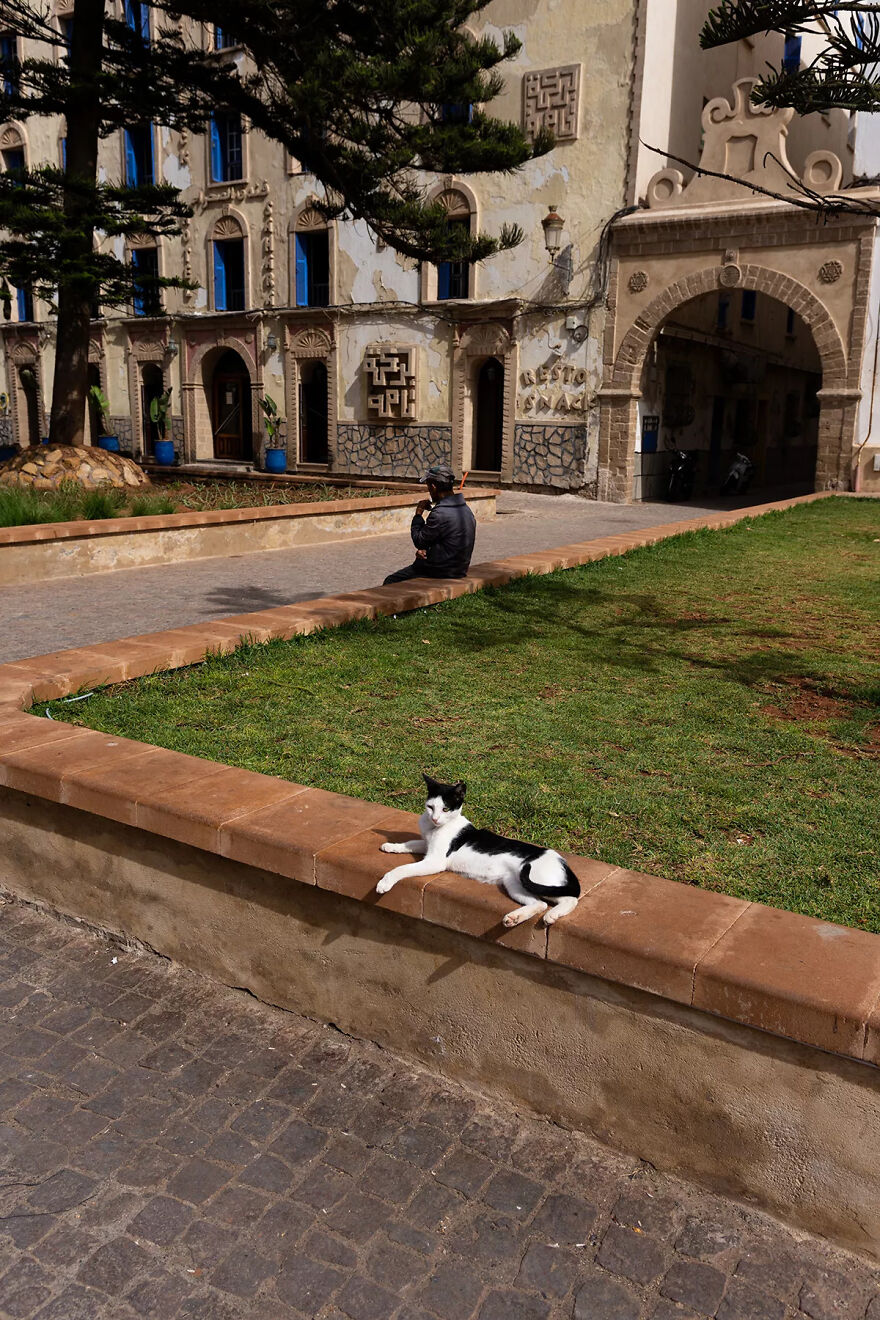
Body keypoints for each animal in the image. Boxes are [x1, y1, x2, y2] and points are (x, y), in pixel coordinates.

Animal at [377, 770, 577, 929]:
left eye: (445, 809)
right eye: (430, 807)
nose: (435, 818)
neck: (434, 828)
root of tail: (561, 860)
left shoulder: (435, 861)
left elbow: (401, 869)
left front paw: (385, 882)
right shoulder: (427, 846)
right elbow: (411, 842)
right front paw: (391, 846)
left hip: (537, 879)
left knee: (570, 898)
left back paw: (551, 915)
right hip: (515, 884)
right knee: (540, 904)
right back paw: (515, 918)